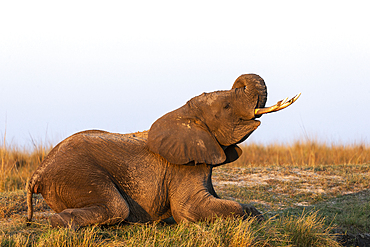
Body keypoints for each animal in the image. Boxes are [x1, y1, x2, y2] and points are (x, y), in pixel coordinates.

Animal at [26, 74, 300, 229]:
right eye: (226, 106)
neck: (185, 113)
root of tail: (38, 172)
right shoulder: (184, 168)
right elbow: (190, 209)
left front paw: (259, 218)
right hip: (75, 175)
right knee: (117, 207)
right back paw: (61, 223)